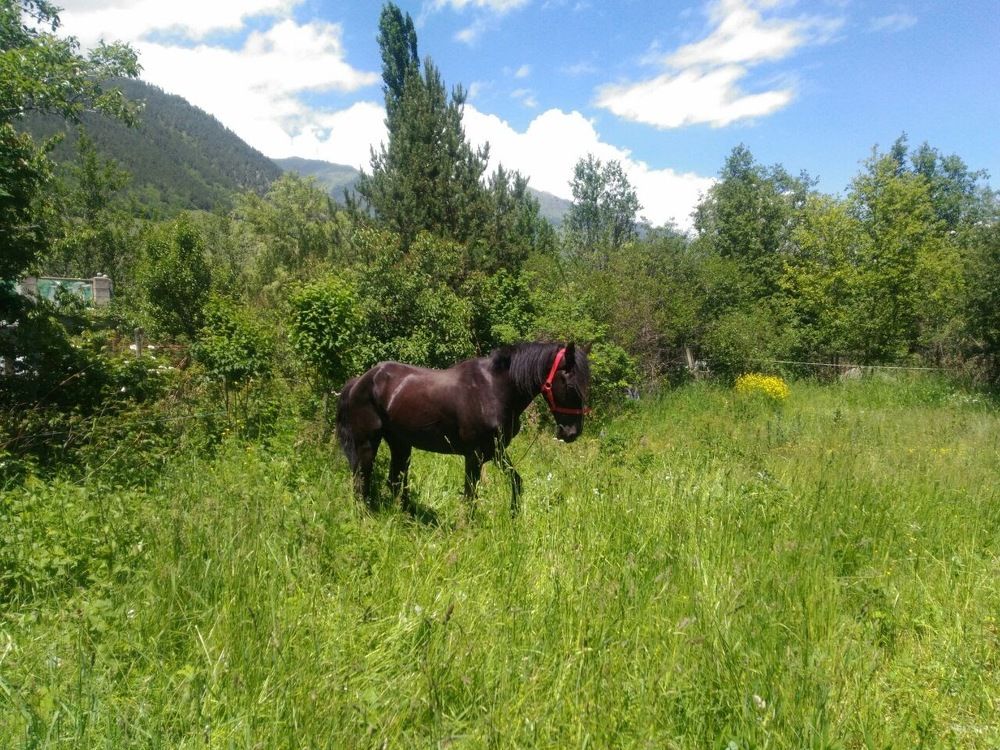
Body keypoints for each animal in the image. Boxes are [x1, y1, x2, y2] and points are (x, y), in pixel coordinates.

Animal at [335, 341, 591, 514]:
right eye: (570, 385)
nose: (571, 433)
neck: (494, 389)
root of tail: (359, 381)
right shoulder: (474, 455)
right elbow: (470, 493)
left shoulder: (496, 452)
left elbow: (516, 482)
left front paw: (514, 517)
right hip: (367, 442)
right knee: (362, 479)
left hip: (401, 444)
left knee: (395, 481)